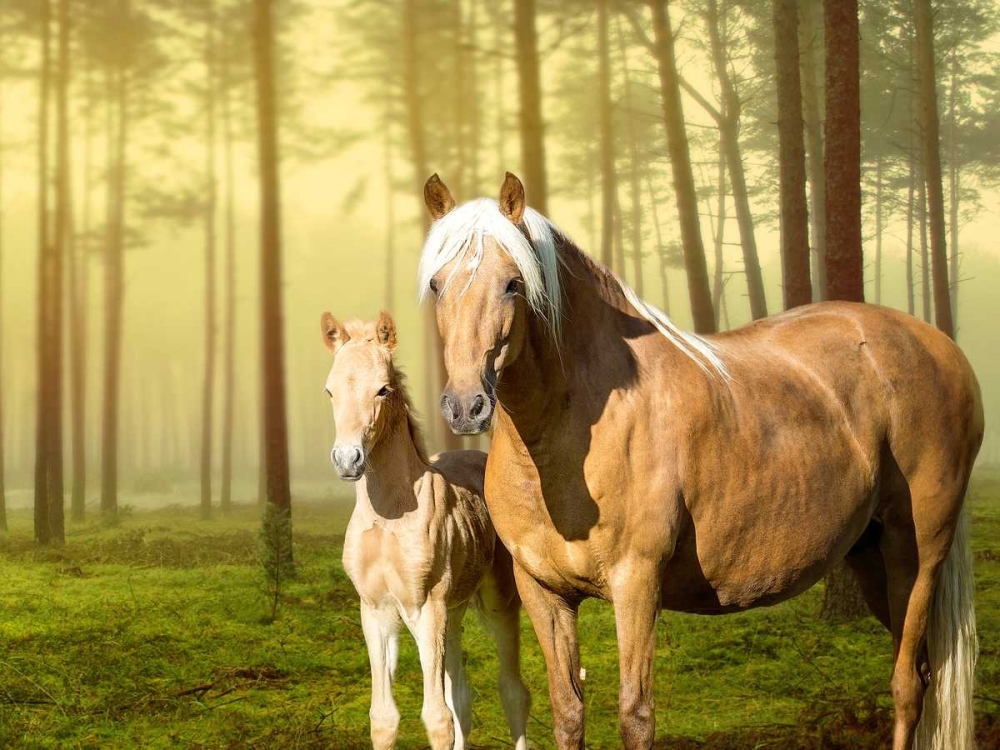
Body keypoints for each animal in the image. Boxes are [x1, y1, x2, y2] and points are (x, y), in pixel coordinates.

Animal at [320, 312, 530, 750]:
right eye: (330, 390)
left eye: (383, 389)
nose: (348, 460)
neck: (389, 517)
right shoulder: (376, 611)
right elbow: (385, 718)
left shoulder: (426, 608)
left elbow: (437, 718)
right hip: (455, 609)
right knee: (462, 696)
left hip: (498, 602)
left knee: (513, 692)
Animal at [416, 172, 983, 750]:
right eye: (437, 285)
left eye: (513, 283)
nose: (466, 406)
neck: (562, 448)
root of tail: (939, 345)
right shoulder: (544, 592)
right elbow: (567, 712)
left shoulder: (637, 583)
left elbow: (636, 716)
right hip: (871, 556)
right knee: (921, 670)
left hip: (917, 552)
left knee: (907, 684)